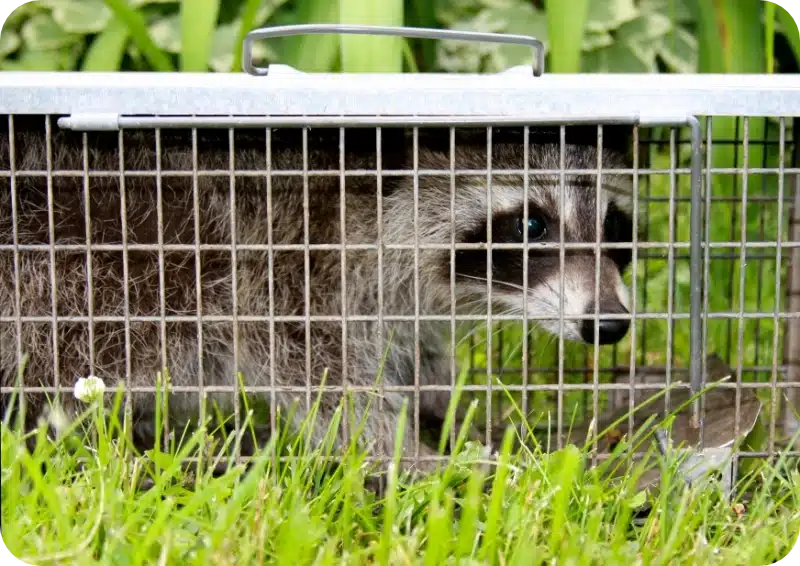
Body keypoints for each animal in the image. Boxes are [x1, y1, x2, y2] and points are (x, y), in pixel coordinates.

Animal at [0, 120, 634, 475]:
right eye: (531, 225)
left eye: (615, 226)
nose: (609, 324)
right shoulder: (284, 268)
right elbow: (325, 379)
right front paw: (411, 455)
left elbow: (416, 357)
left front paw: (451, 411)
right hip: (54, 272)